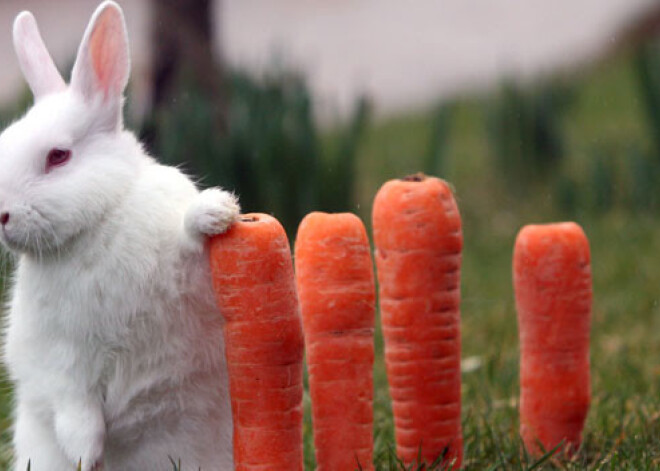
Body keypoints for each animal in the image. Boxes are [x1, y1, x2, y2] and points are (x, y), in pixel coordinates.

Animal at [1, 1, 240, 470]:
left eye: (58, 157)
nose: (0, 214)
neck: (94, 230)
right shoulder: (55, 354)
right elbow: (71, 400)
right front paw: (85, 454)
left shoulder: (186, 276)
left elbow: (188, 241)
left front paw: (216, 212)